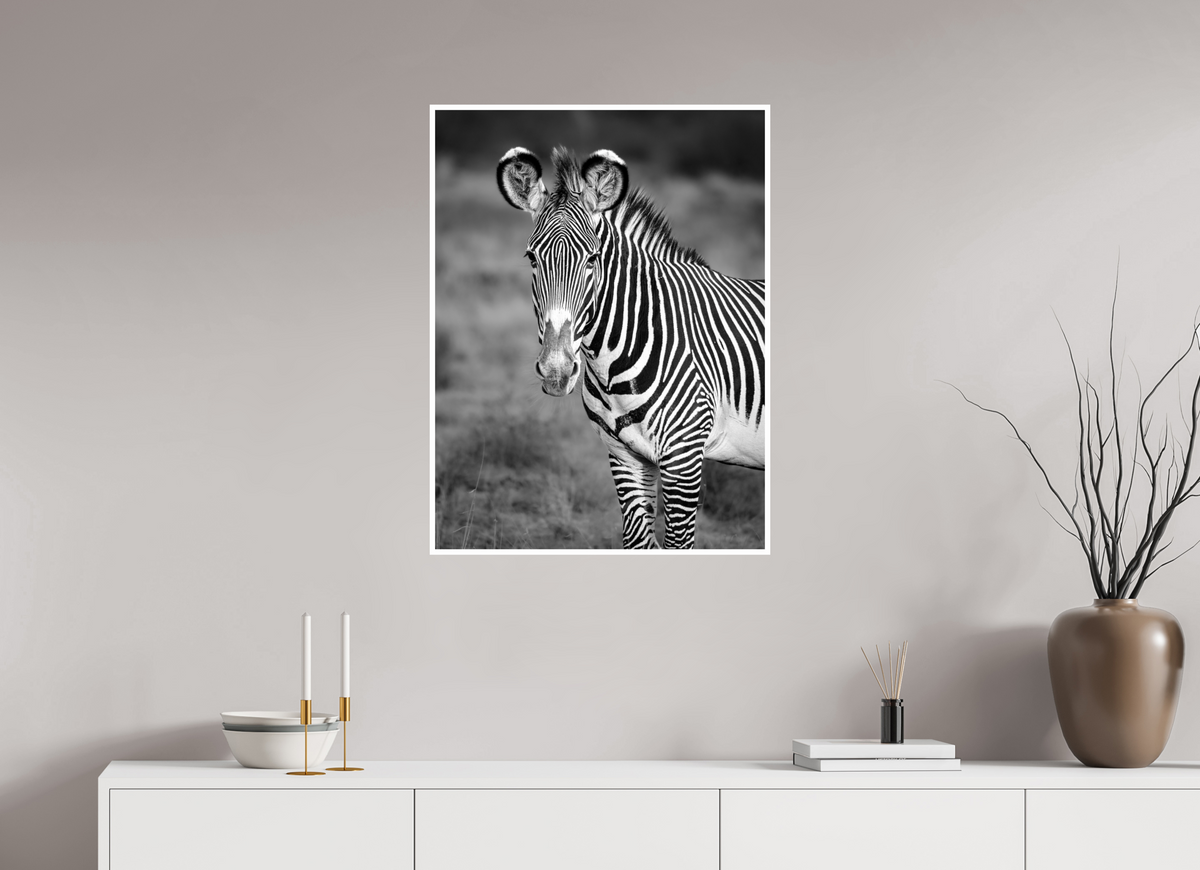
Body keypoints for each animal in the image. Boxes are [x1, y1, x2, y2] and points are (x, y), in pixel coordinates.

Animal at [497, 146, 766, 549]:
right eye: (532, 258)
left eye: (593, 260)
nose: (556, 371)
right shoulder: (624, 455)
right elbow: (637, 539)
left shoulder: (684, 457)